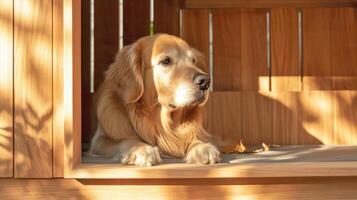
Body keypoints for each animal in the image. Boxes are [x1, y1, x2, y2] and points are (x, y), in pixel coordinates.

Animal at [87, 34, 218, 166]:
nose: (205, 81)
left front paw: (202, 147)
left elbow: (193, 138)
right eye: (166, 60)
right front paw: (141, 149)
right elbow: (124, 141)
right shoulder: (99, 141)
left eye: (193, 61)